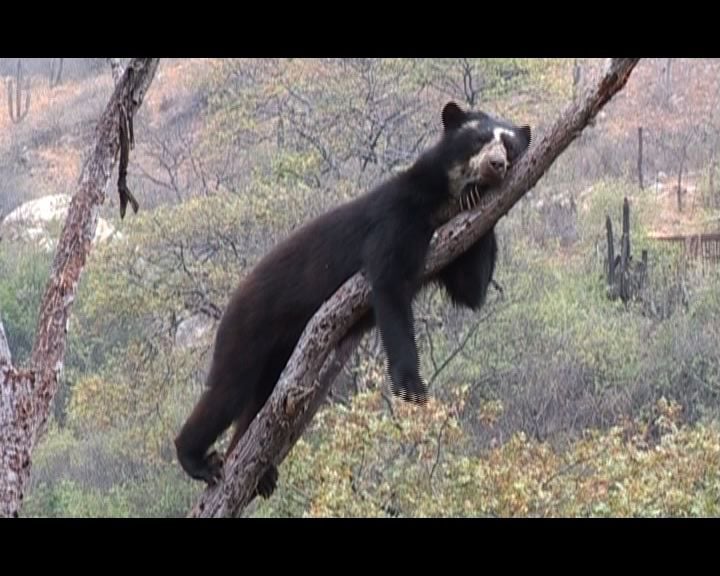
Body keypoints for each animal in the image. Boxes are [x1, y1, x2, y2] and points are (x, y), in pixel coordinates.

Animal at [174, 100, 532, 496]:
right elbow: (390, 285)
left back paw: (259, 474)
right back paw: (197, 460)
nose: (496, 165)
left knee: (259, 403)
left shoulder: (451, 239)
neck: (442, 199)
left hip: (281, 359)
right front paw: (412, 388)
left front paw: (476, 197)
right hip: (250, 327)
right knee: (228, 390)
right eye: (479, 140)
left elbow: (469, 289)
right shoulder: (396, 219)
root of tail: (233, 301)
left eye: (510, 146)